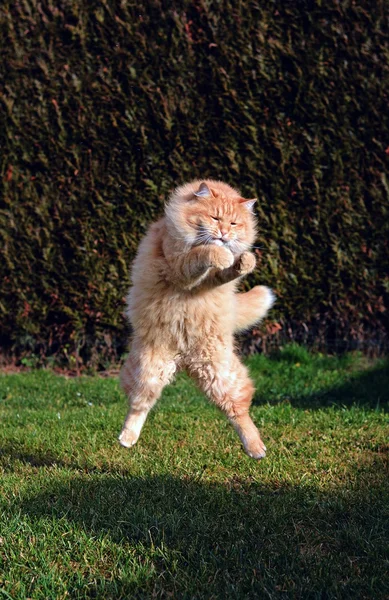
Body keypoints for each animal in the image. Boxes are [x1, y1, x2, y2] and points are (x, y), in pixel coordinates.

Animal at [119, 178, 274, 460]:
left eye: (233, 223)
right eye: (215, 218)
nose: (223, 234)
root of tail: (183, 359)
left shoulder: (213, 280)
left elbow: (227, 269)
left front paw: (243, 260)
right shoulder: (178, 267)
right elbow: (201, 255)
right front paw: (219, 252)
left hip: (221, 376)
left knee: (238, 412)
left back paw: (256, 448)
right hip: (149, 371)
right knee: (139, 405)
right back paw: (127, 438)